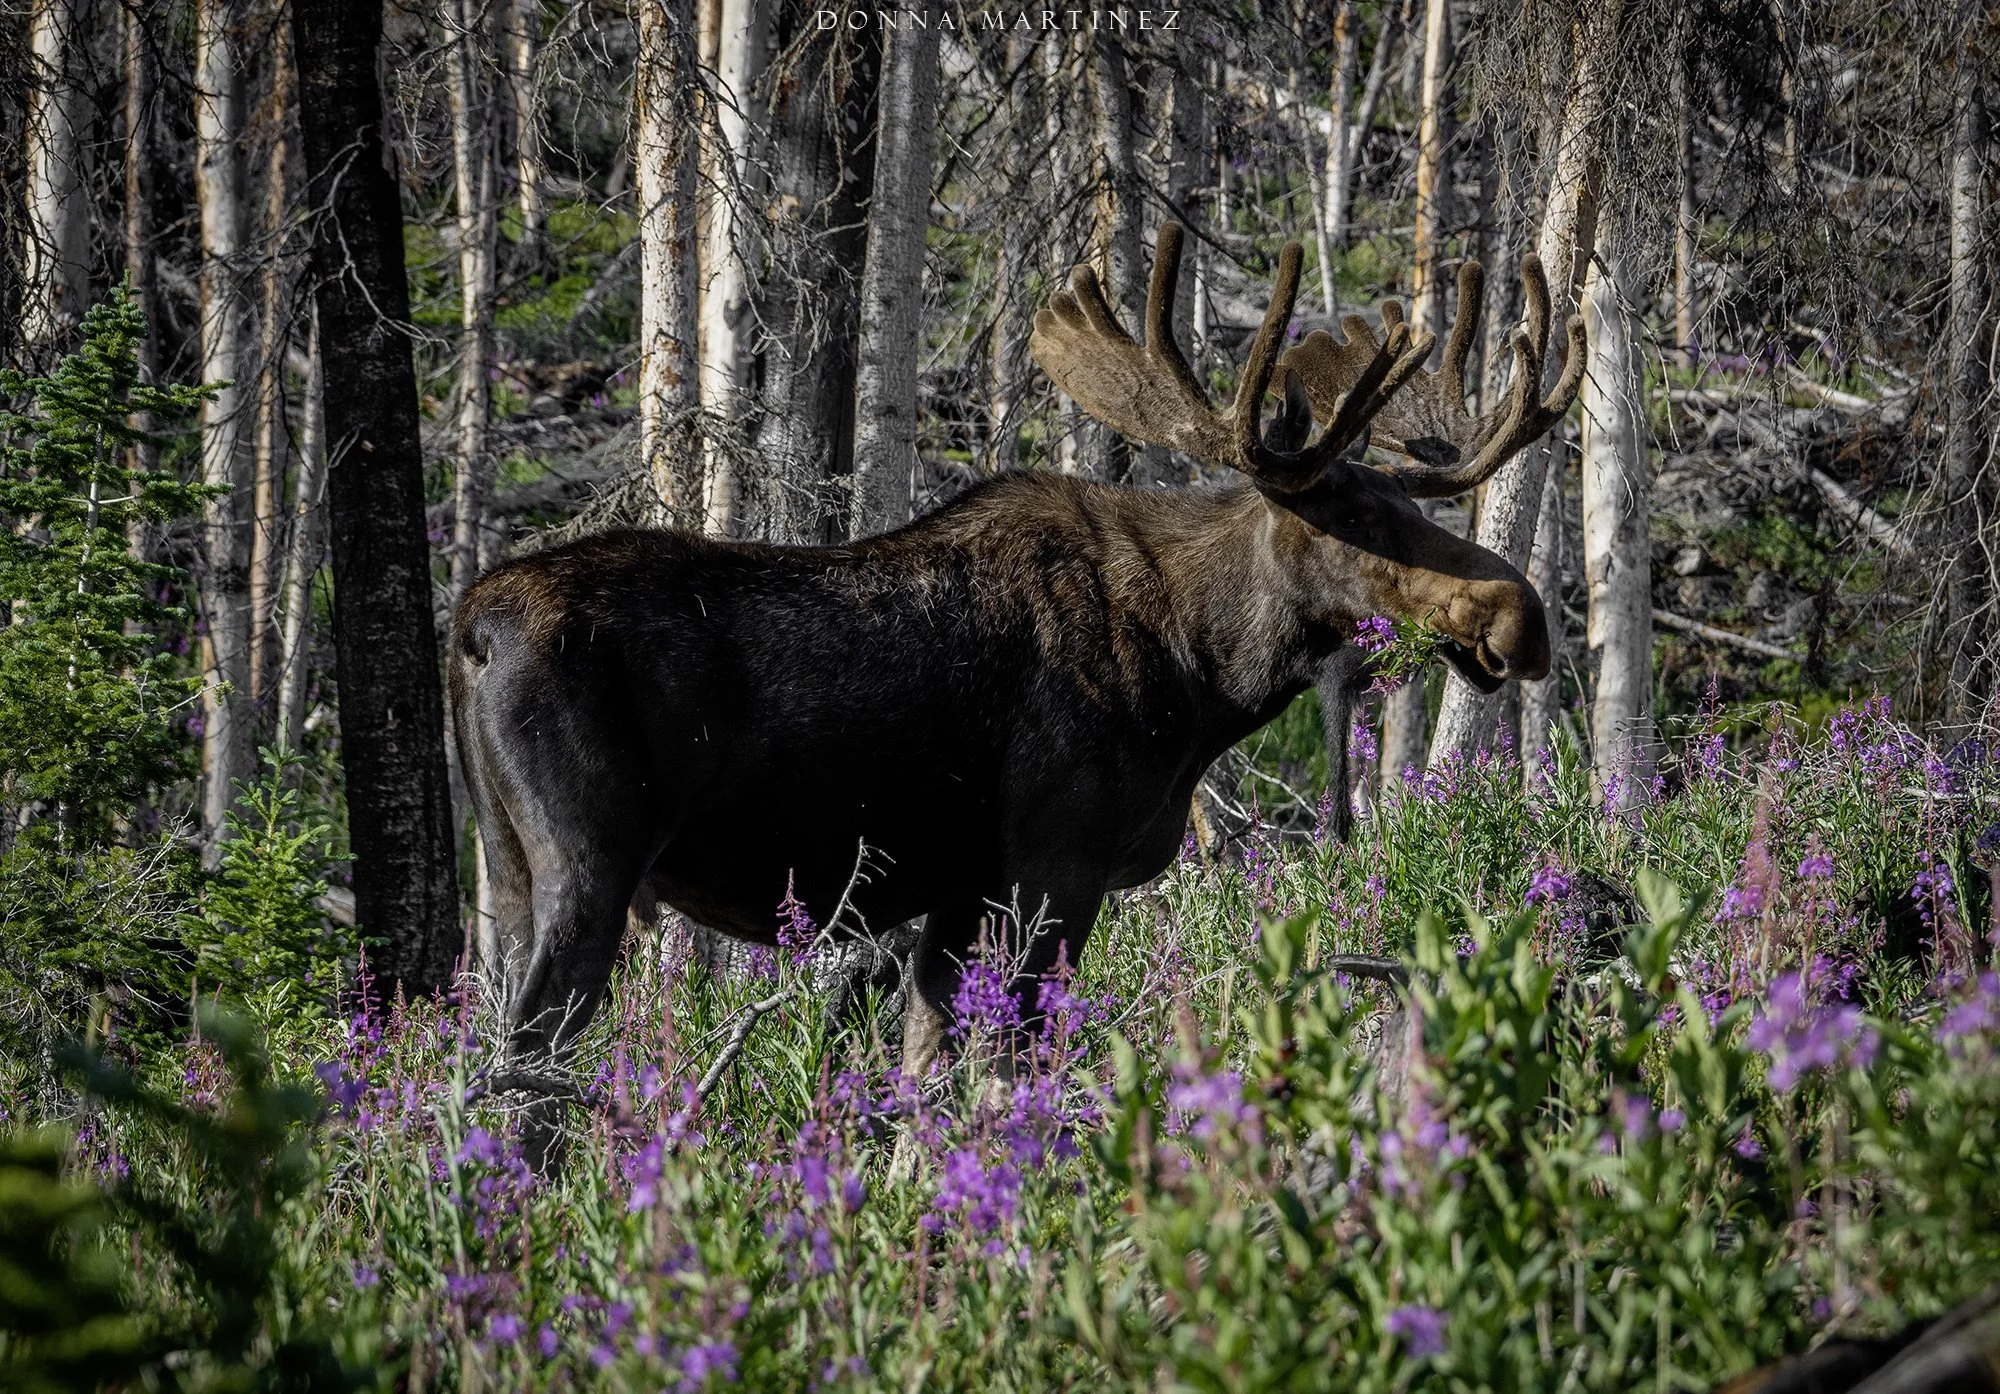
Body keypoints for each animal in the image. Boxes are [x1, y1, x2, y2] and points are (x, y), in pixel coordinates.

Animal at [449, 221, 1584, 1156]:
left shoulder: (959, 888)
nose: (1520, 618)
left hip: (506, 873)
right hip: (586, 865)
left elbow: (924, 1083)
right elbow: (1013, 1075)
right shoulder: (1055, 862)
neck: (1202, 672)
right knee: (525, 1079)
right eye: (1352, 519)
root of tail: (471, 630)